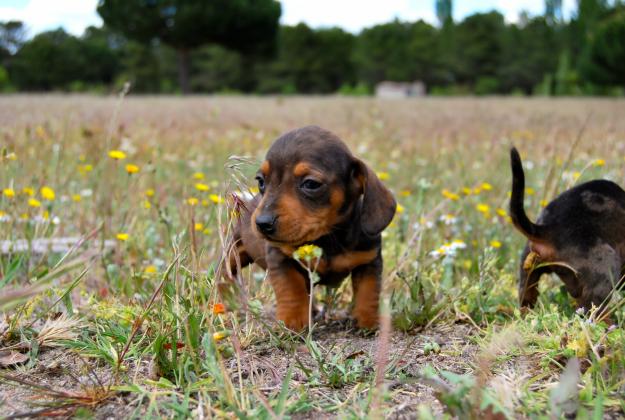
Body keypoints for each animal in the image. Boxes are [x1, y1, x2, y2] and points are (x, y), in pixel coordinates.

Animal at [227, 126, 398, 330]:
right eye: (261, 181)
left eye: (311, 184)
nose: (262, 222)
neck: (327, 238)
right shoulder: (280, 258)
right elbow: (291, 288)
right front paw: (292, 321)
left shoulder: (369, 261)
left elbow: (368, 292)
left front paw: (369, 321)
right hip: (233, 252)